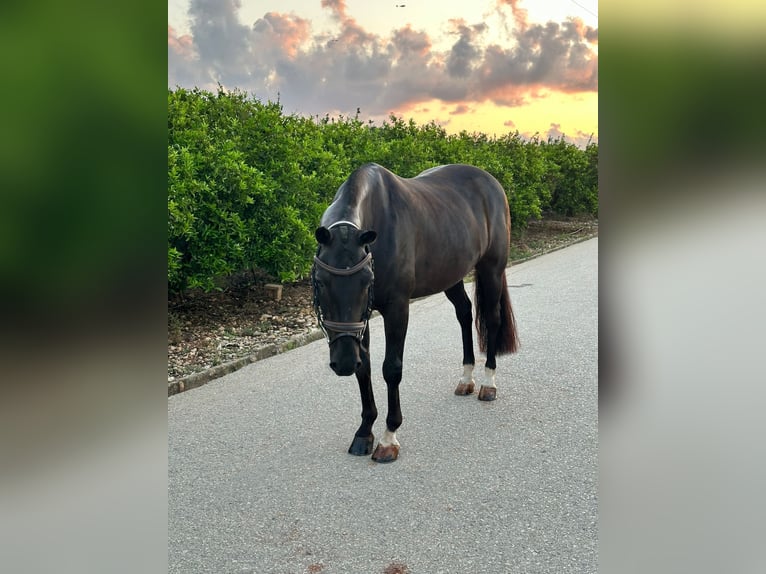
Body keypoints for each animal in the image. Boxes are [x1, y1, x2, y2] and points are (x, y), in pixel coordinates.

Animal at [312, 162, 520, 464]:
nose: (344, 363)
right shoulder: (363, 320)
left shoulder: (397, 308)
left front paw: (388, 438)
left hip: (491, 269)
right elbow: (366, 369)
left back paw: (488, 383)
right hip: (451, 275)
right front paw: (364, 432)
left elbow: (391, 369)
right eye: (320, 281)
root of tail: (491, 182)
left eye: (366, 280)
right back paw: (466, 378)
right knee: (464, 314)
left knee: (492, 320)